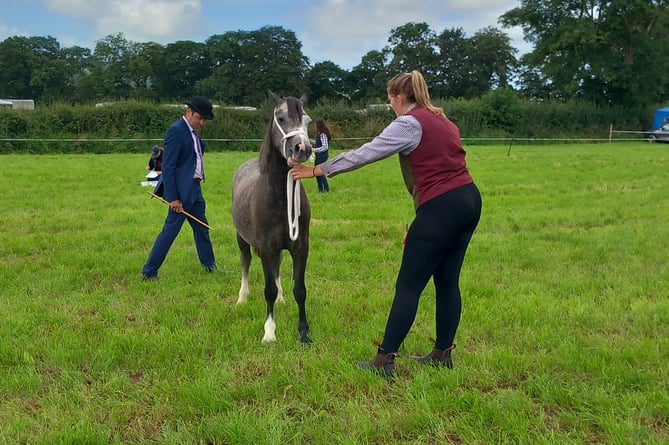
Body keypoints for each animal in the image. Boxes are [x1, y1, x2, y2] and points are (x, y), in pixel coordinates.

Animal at [231, 91, 312, 344]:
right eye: (282, 118)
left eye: (308, 121)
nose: (302, 148)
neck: (280, 197)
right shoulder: (266, 247)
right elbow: (268, 290)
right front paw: (269, 332)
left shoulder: (300, 247)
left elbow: (300, 290)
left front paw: (304, 332)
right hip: (242, 239)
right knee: (245, 262)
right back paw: (242, 298)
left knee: (277, 268)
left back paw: (281, 299)